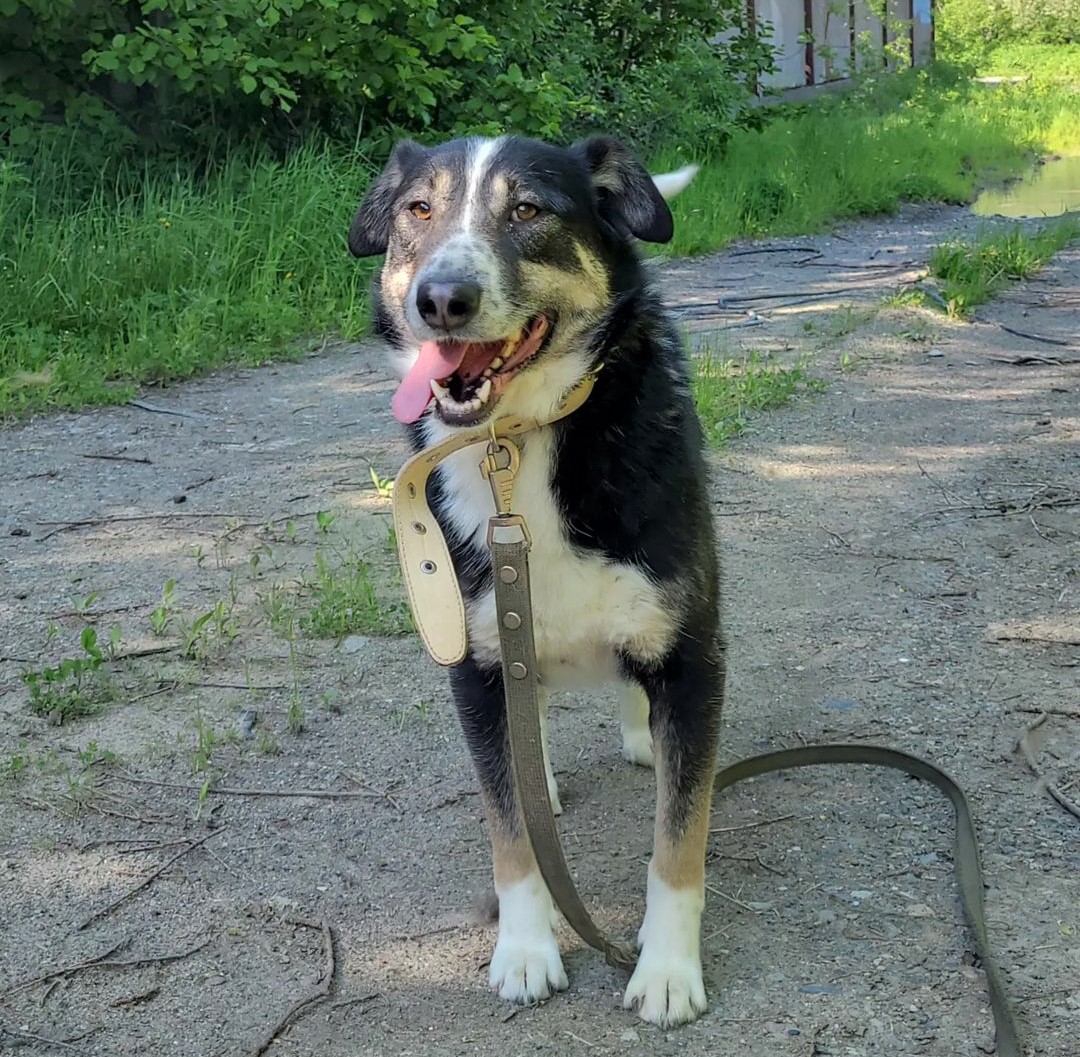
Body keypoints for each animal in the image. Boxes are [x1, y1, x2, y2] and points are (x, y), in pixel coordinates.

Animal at [349, 132, 725, 1023]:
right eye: (418, 209)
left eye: (527, 209)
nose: (440, 299)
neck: (518, 441)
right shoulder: (478, 661)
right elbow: (509, 834)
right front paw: (525, 949)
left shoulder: (694, 655)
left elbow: (678, 842)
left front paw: (666, 966)